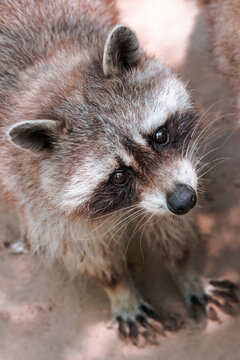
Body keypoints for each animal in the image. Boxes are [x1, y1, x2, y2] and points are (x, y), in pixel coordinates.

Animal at [0, 0, 237, 344]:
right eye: (119, 176)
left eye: (160, 135)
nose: (185, 201)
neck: (54, 62)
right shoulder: (35, 191)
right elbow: (84, 249)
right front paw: (118, 288)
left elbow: (170, 226)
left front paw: (185, 268)